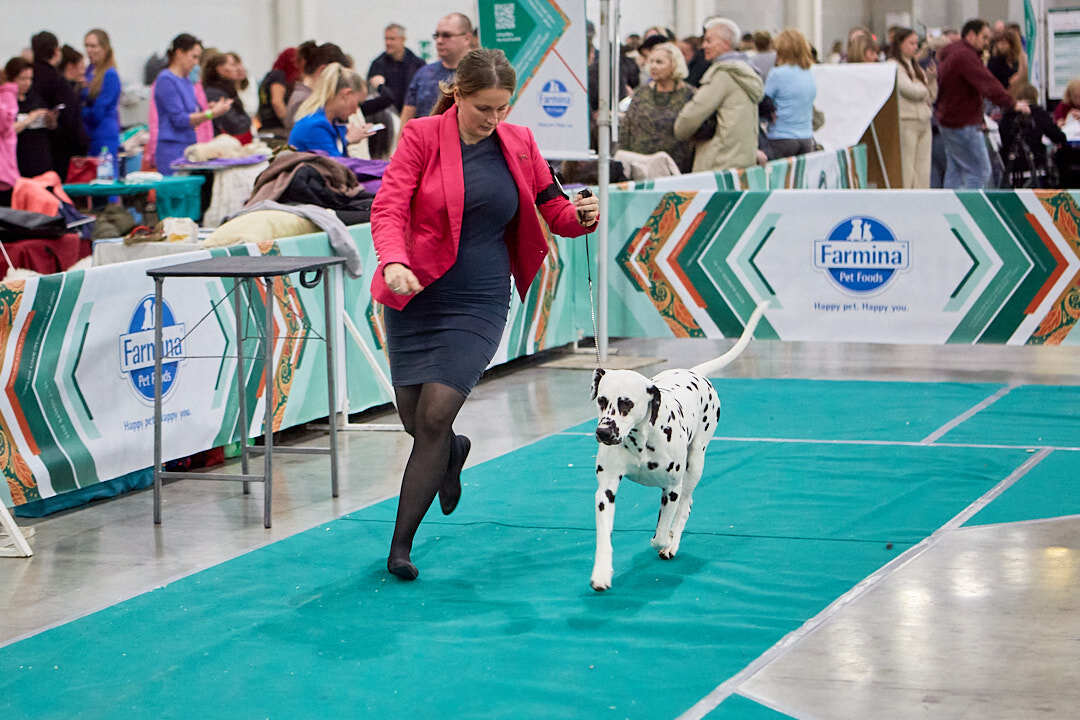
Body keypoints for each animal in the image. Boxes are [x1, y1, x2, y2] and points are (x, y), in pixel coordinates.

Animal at [591, 300, 768, 591]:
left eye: (627, 403)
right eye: (602, 400)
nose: (603, 432)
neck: (640, 441)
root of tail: (695, 372)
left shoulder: (671, 489)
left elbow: (662, 531)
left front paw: (666, 540)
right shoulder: (606, 491)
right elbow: (604, 536)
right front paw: (602, 572)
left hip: (695, 464)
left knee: (686, 503)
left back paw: (672, 543)